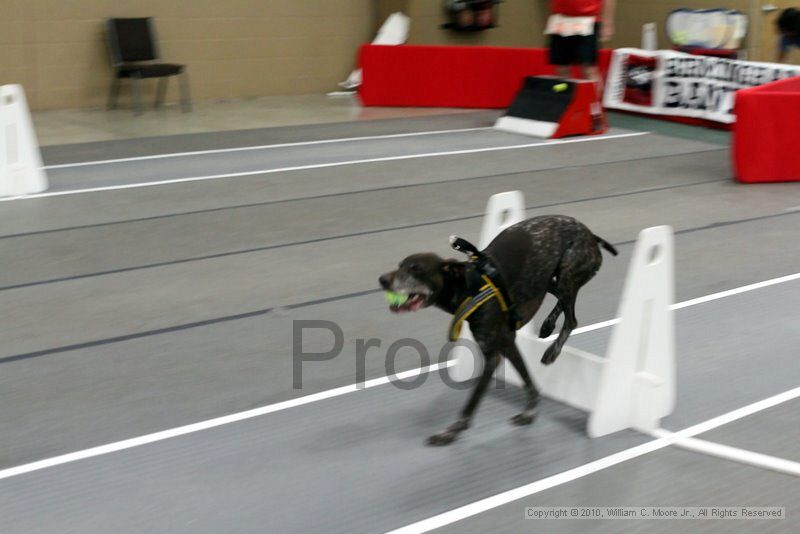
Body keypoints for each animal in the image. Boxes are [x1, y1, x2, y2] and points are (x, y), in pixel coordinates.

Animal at [378, 216, 616, 446]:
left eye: (415, 269)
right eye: (400, 265)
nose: (382, 280)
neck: (469, 286)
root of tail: (591, 236)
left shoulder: (496, 353)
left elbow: (474, 402)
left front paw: (450, 432)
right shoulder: (504, 346)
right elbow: (527, 380)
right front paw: (530, 410)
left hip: (567, 274)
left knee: (572, 319)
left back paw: (552, 351)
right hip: (549, 281)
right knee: (561, 301)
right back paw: (548, 324)